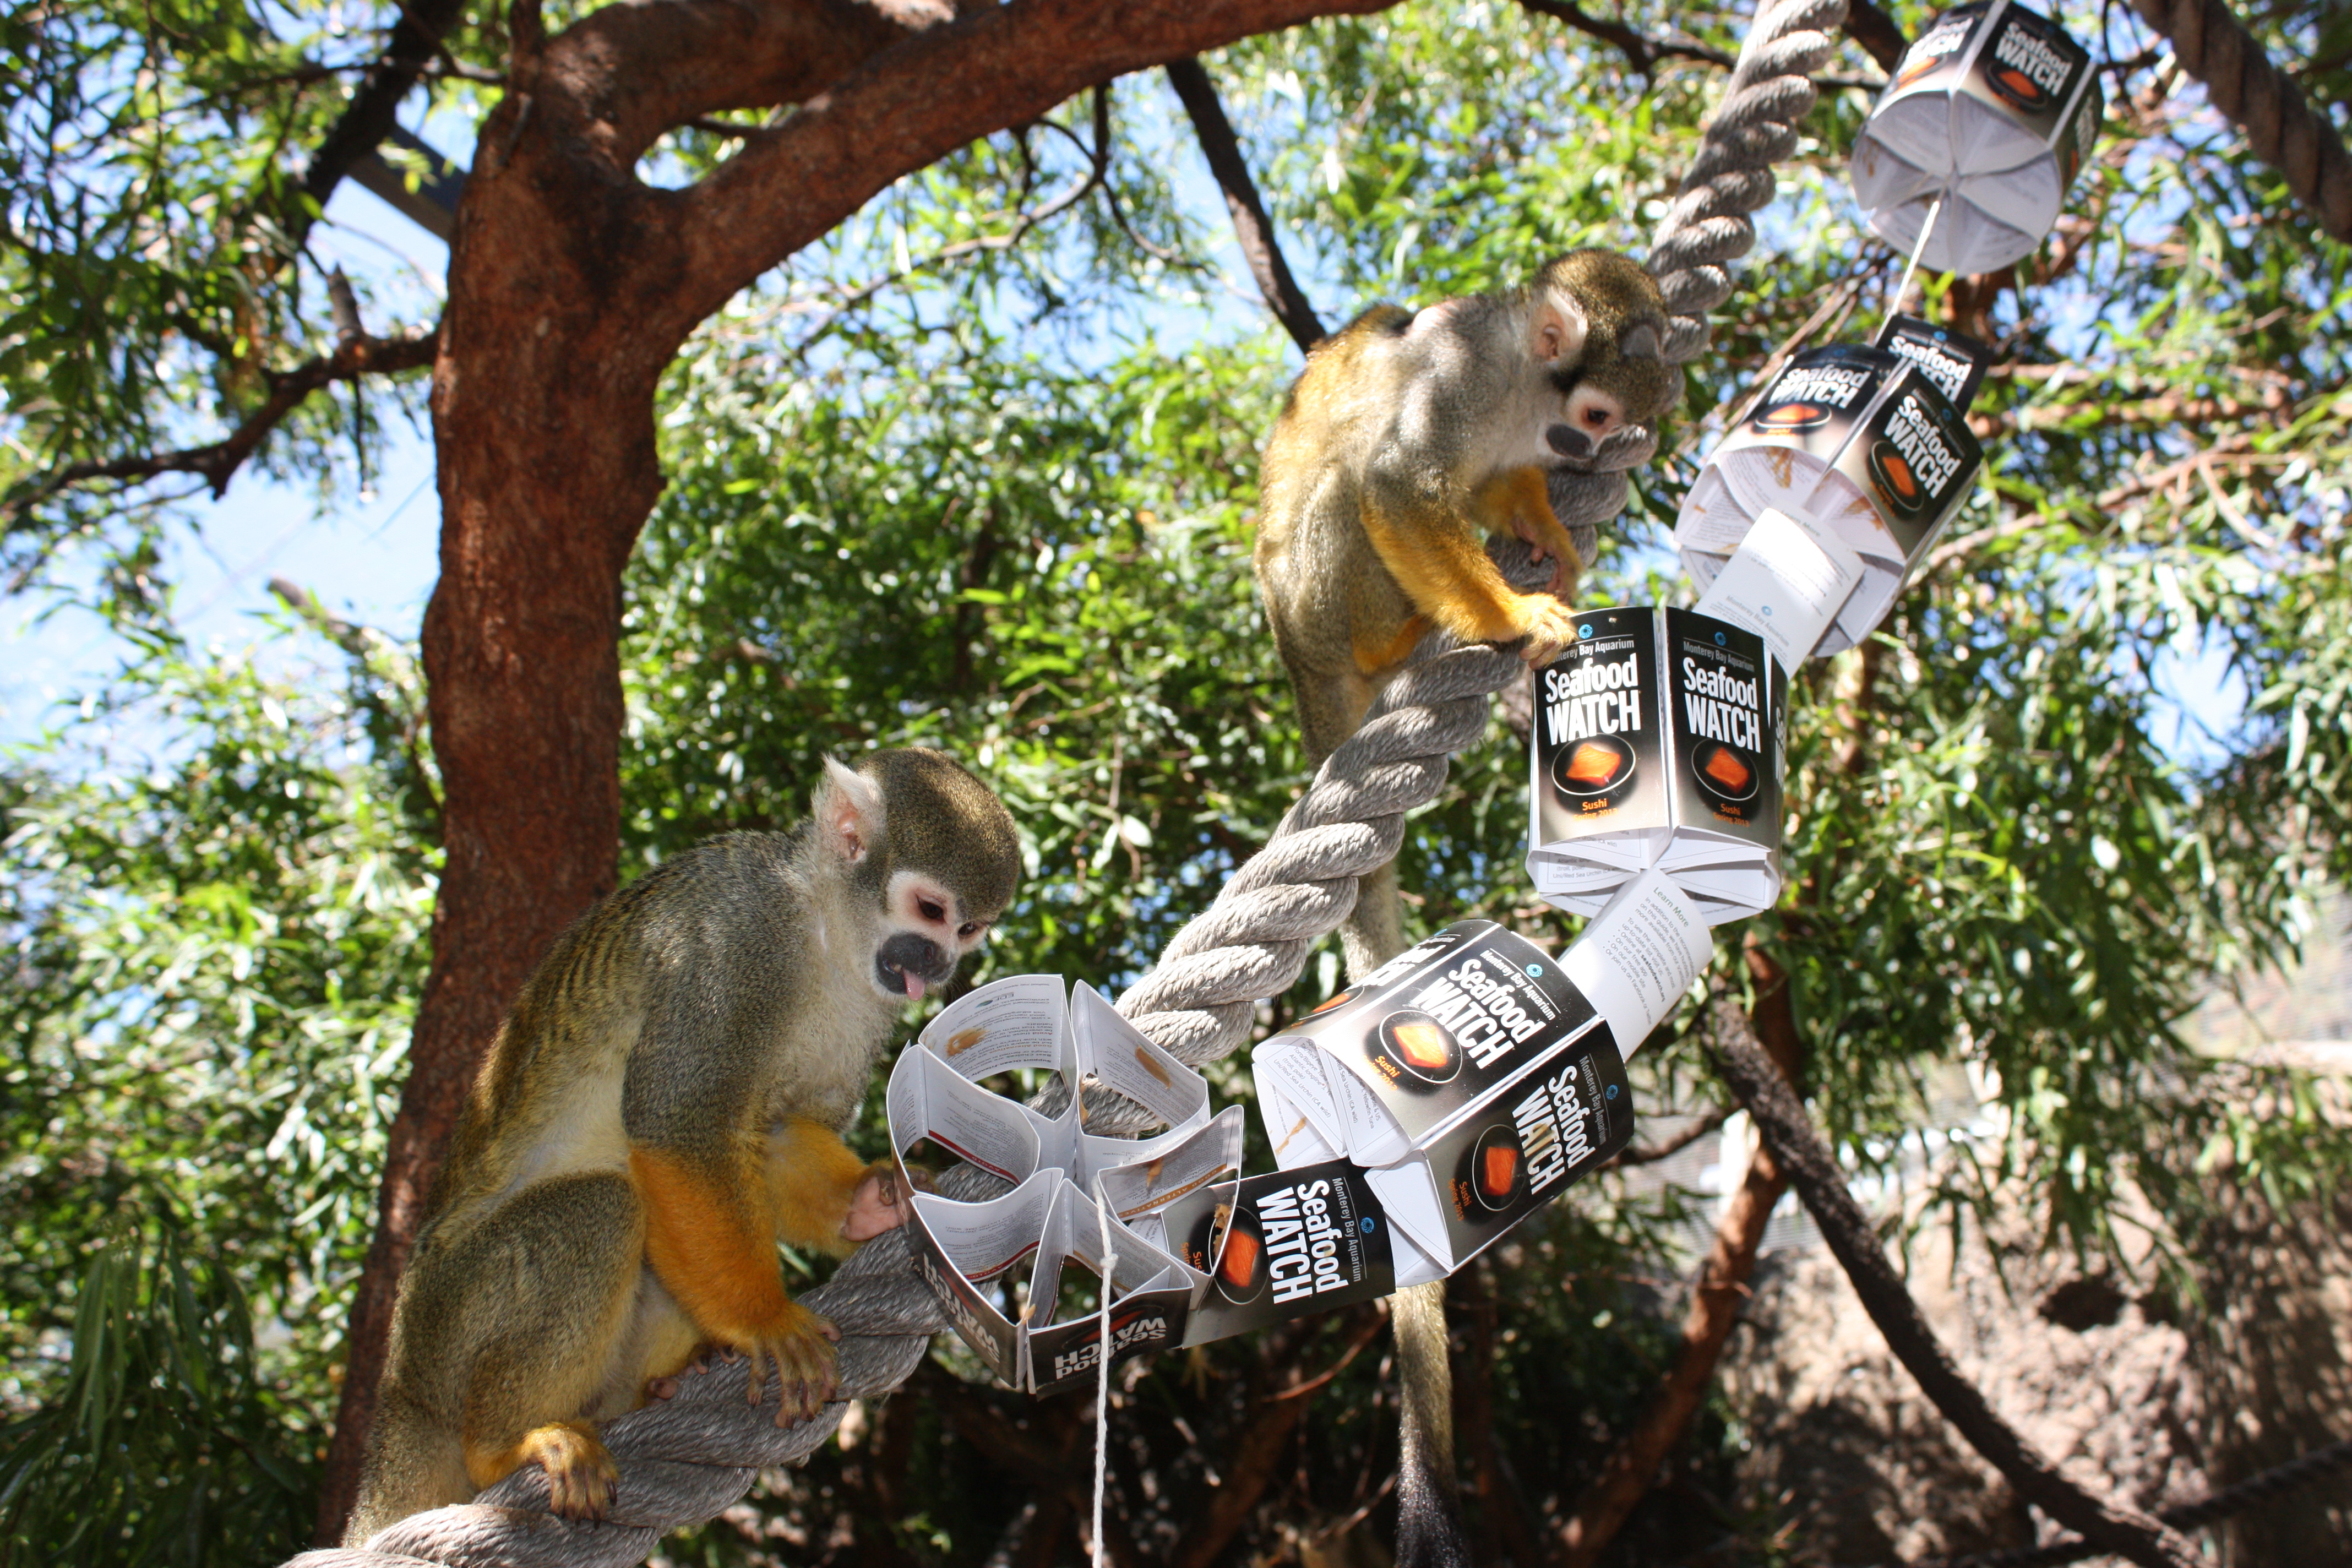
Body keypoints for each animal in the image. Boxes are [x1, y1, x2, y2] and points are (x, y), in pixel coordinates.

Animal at [343, 749, 1022, 1546]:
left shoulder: (865, 999)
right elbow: (678, 1123)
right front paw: (765, 1321)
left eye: (970, 928)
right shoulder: (729, 944)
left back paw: (667, 1383)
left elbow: (772, 1127)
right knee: (602, 1208)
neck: (824, 927)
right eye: (931, 912)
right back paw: (507, 1446)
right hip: (449, 1325)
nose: (939, 965)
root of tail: (400, 1388)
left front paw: (869, 1204)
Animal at [1251, 251, 1675, 1568]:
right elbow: (1400, 479)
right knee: (1353, 485)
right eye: (1596, 410)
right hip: (1318, 602)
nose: (1590, 444)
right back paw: (1416, 629)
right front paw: (1513, 614)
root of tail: (1305, 683)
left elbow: (1489, 478)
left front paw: (1539, 530)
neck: (1519, 378)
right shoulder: (1458, 377)